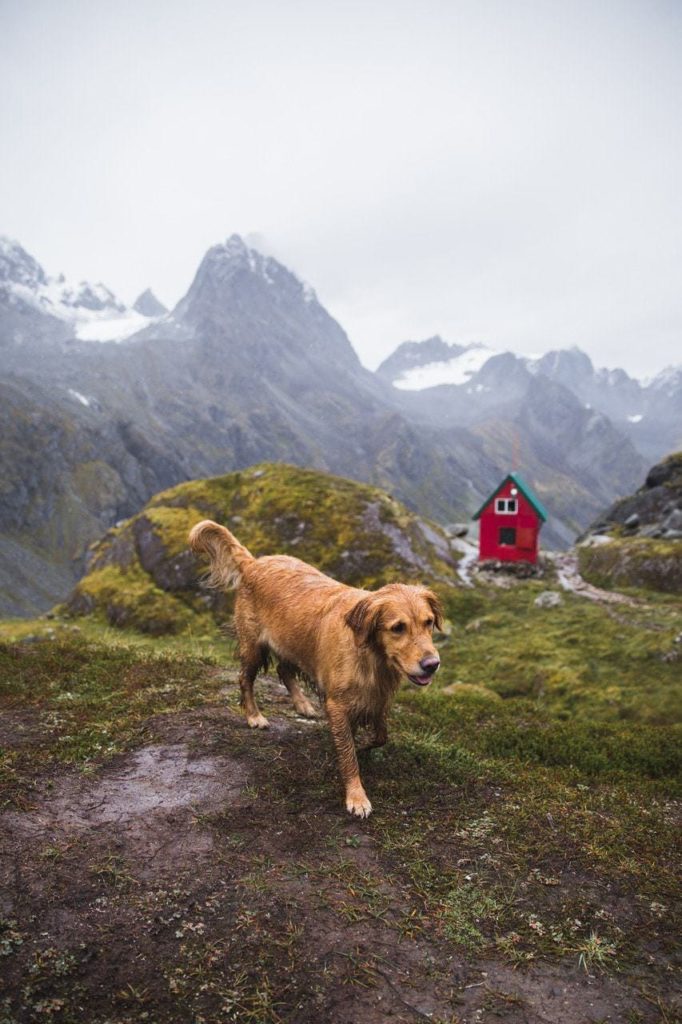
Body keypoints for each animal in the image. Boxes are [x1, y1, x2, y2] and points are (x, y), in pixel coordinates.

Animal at [187, 520, 440, 815]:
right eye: (398, 627)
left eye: (429, 622)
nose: (432, 665)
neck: (371, 654)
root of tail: (254, 563)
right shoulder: (338, 704)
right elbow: (348, 755)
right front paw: (356, 796)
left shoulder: (377, 697)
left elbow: (380, 735)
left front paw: (364, 744)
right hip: (253, 648)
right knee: (244, 679)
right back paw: (254, 716)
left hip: (291, 644)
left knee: (284, 671)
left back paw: (302, 704)